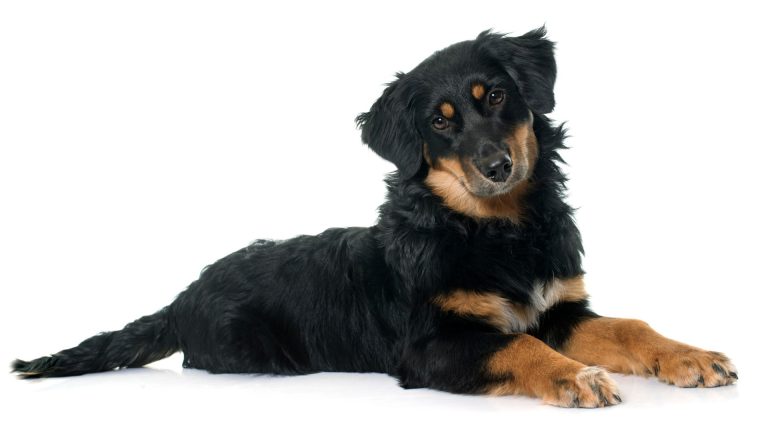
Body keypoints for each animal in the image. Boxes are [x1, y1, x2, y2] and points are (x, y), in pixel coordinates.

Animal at [12, 28, 736, 406]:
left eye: (495, 96)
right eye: (439, 124)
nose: (497, 165)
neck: (495, 228)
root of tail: (180, 296)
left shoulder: (560, 308)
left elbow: (629, 327)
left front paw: (691, 358)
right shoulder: (432, 344)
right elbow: (517, 345)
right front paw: (572, 377)